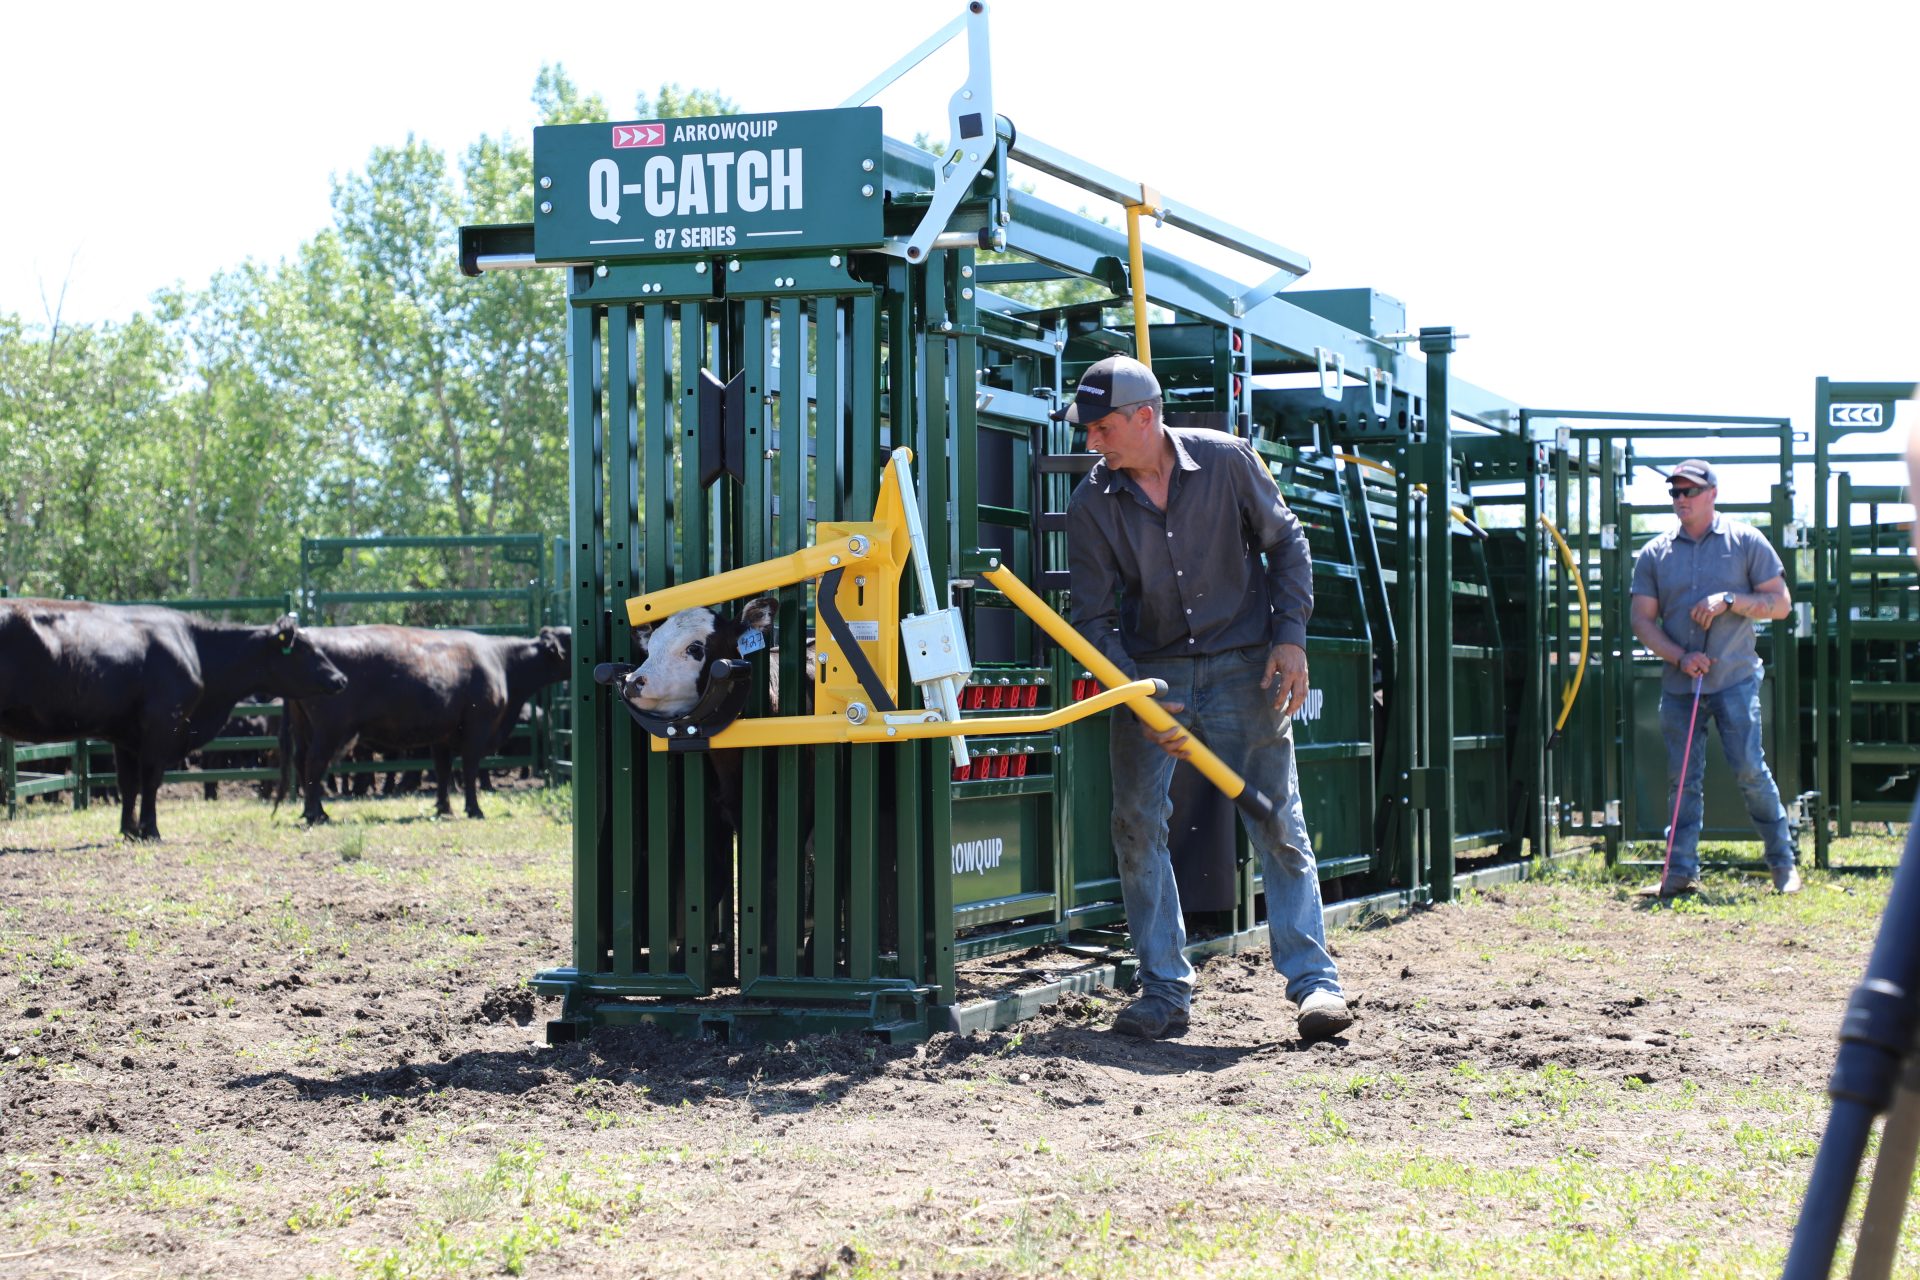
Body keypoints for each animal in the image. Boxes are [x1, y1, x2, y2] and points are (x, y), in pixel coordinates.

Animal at [0, 602, 349, 840]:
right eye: (304, 648)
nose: (340, 679)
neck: (193, 646)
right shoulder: (161, 726)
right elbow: (151, 779)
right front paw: (150, 829)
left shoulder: (124, 736)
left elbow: (129, 783)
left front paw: (129, 830)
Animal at [280, 625, 568, 825]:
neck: (501, 661)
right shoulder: (478, 728)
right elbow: (470, 768)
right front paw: (474, 809)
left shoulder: (443, 735)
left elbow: (442, 769)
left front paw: (444, 808)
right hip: (330, 730)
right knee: (315, 763)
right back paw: (317, 814)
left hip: (305, 729)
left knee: (301, 760)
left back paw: (310, 810)